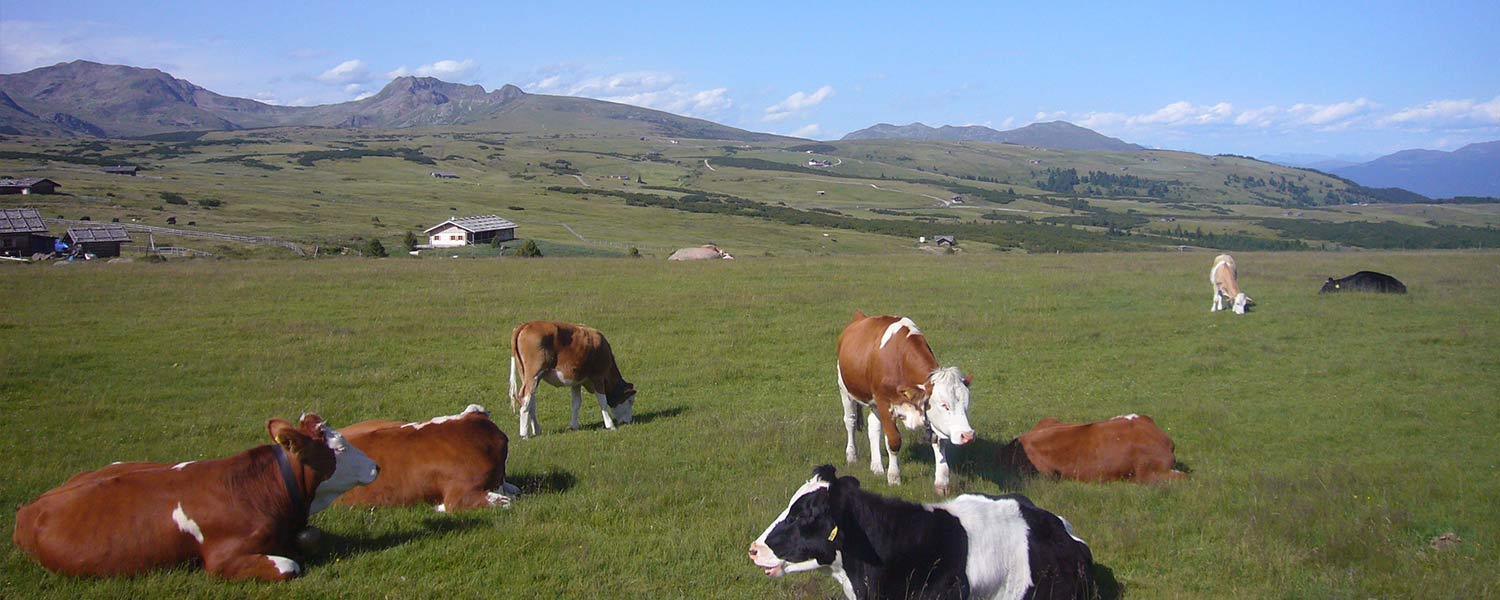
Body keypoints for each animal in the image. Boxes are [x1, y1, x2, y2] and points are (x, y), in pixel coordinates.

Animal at [14, 414, 378, 579]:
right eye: (339, 448)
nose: (375, 466)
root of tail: (28, 509)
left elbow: (310, 538)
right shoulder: (223, 559)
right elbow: (290, 565)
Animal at [840, 312, 978, 495]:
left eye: (966, 404)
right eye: (944, 405)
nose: (967, 435)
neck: (899, 360)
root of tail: (860, 316)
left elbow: (938, 441)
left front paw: (942, 482)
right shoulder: (884, 402)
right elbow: (893, 441)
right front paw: (894, 478)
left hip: (873, 403)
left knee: (873, 426)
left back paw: (877, 467)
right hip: (845, 390)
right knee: (850, 421)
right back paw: (852, 456)